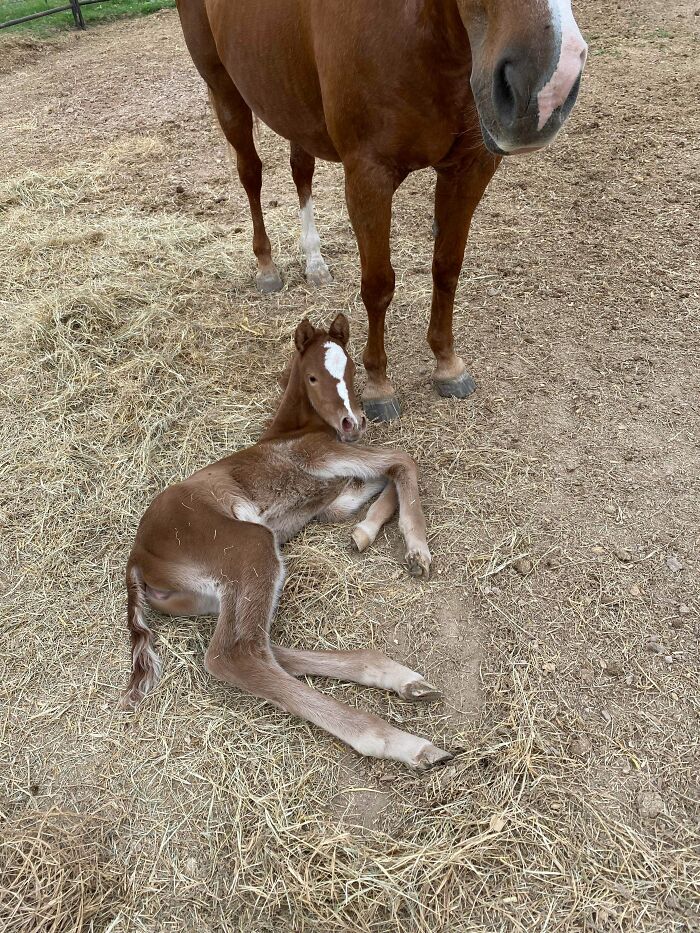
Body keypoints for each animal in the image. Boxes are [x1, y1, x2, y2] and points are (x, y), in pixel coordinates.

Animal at [120, 314, 452, 768]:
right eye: (313, 377)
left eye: (352, 369)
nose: (353, 424)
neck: (294, 430)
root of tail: (137, 559)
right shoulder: (320, 456)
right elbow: (403, 460)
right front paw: (417, 547)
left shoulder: (333, 500)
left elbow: (385, 479)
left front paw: (364, 532)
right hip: (250, 546)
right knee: (234, 654)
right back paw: (397, 740)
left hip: (218, 595)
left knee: (262, 646)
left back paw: (398, 678)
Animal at [175, 0, 587, 421]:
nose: (548, 89)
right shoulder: (368, 176)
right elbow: (378, 285)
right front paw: (377, 384)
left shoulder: (470, 168)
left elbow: (447, 268)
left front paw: (447, 364)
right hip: (225, 89)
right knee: (251, 173)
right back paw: (266, 266)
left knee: (300, 169)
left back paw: (314, 262)